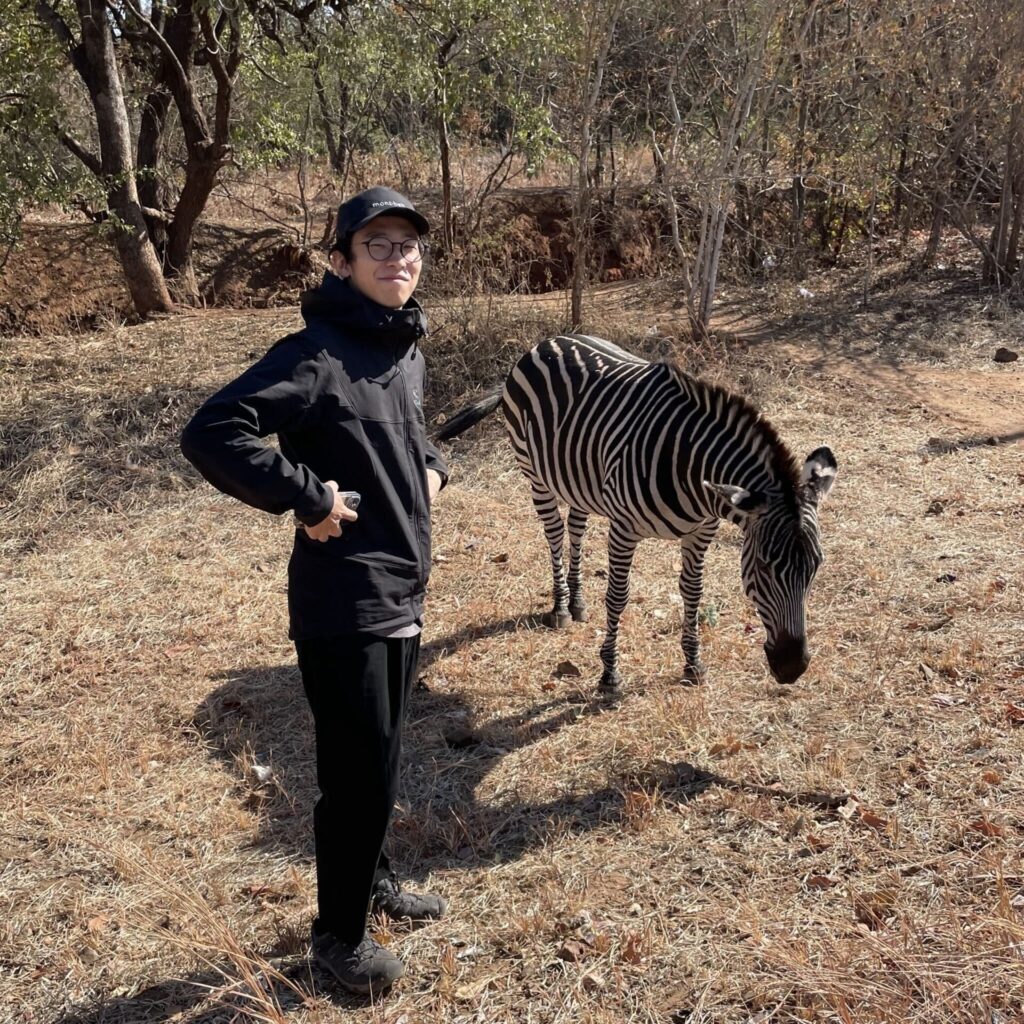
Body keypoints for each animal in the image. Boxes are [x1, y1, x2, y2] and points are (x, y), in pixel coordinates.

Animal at [437, 334, 838, 692]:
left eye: (815, 567)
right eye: (765, 567)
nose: (792, 668)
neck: (691, 469)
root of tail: (542, 342)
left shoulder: (701, 531)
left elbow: (693, 592)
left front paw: (693, 664)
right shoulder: (624, 529)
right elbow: (618, 595)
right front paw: (609, 674)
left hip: (579, 479)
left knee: (576, 528)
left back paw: (578, 600)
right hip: (536, 474)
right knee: (554, 533)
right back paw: (561, 606)